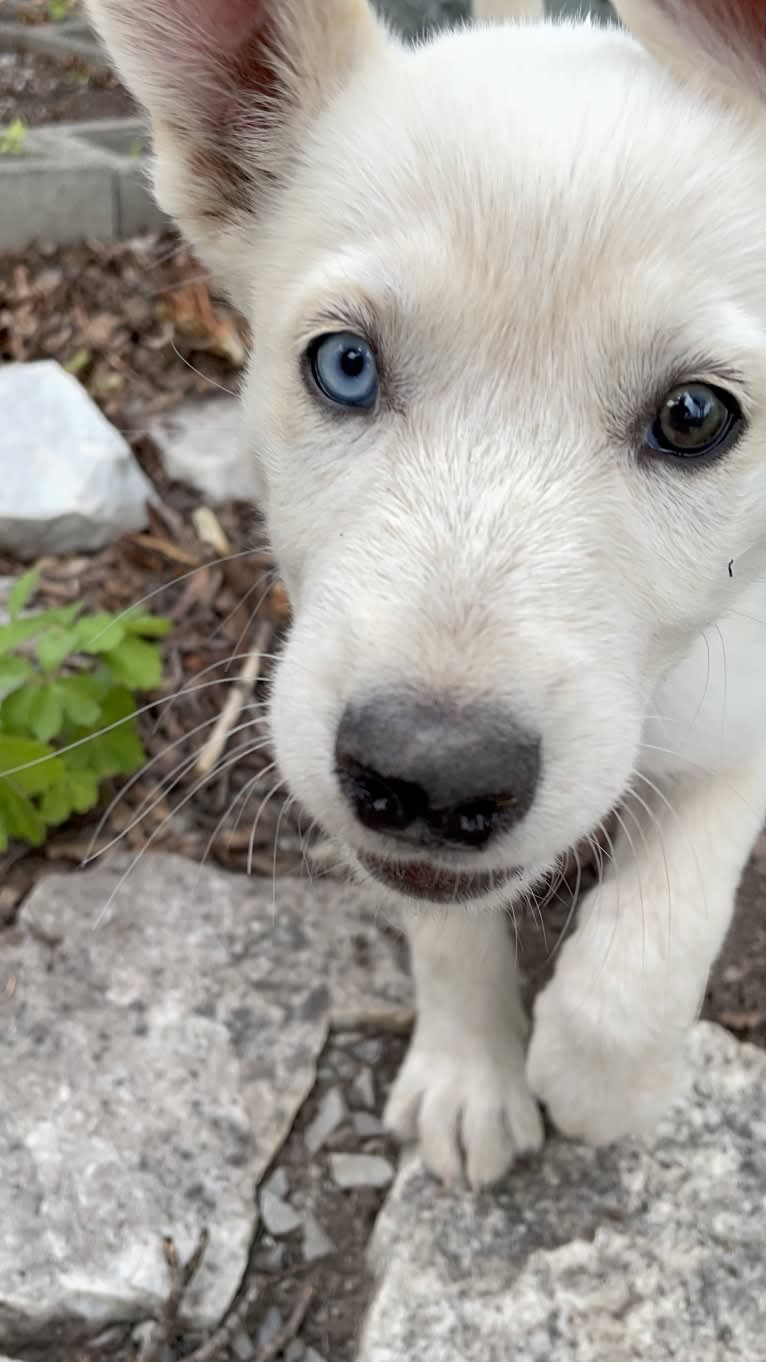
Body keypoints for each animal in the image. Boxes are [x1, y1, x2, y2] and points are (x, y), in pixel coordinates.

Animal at [89, 0, 766, 1187]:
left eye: (694, 417)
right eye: (345, 366)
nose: (432, 776)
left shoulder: (751, 706)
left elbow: (656, 929)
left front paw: (600, 1084)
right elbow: (445, 933)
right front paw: (470, 1074)